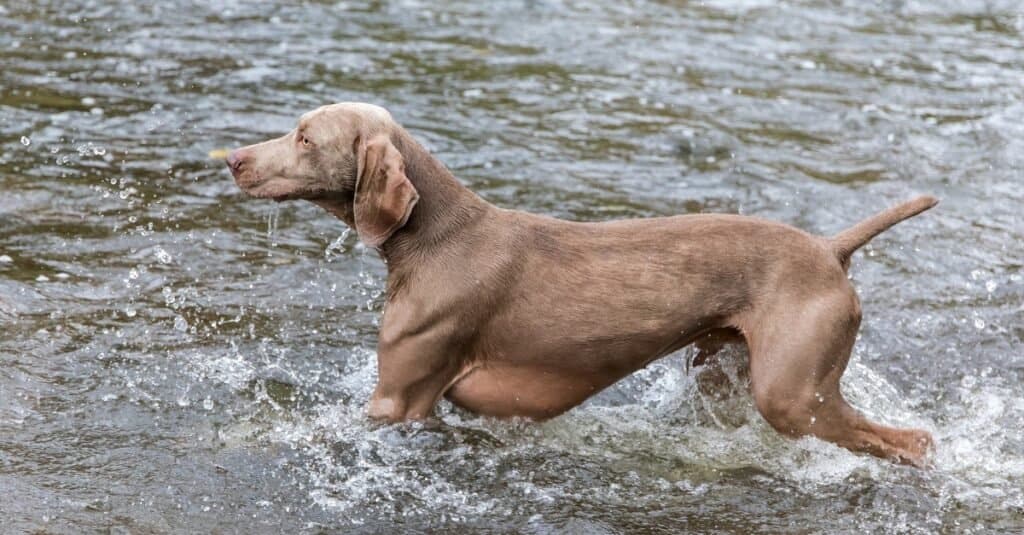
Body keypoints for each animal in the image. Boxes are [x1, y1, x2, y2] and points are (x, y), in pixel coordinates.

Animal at [228, 101, 937, 463]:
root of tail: (828, 248)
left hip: (792, 394)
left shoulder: (398, 401)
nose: (233, 159)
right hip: (722, 368)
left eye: (304, 137)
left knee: (911, 440)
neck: (434, 238)